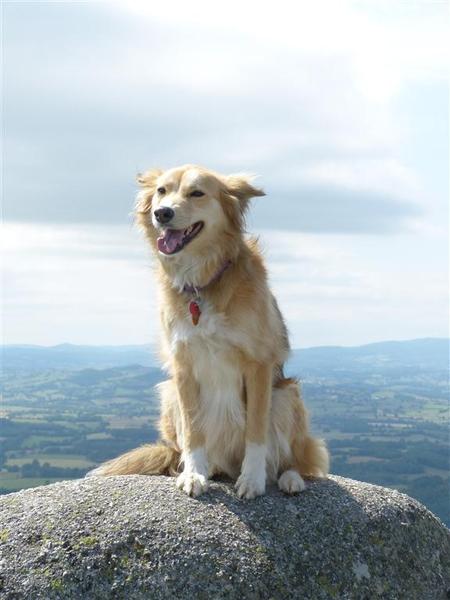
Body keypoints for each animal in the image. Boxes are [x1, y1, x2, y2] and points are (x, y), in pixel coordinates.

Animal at [92, 165, 330, 502]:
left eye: (197, 193)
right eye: (162, 191)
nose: (162, 213)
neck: (201, 281)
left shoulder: (259, 365)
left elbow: (256, 432)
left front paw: (252, 479)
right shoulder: (183, 368)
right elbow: (194, 432)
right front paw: (194, 474)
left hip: (287, 395)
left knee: (295, 459)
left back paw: (289, 478)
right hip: (169, 395)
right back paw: (211, 469)